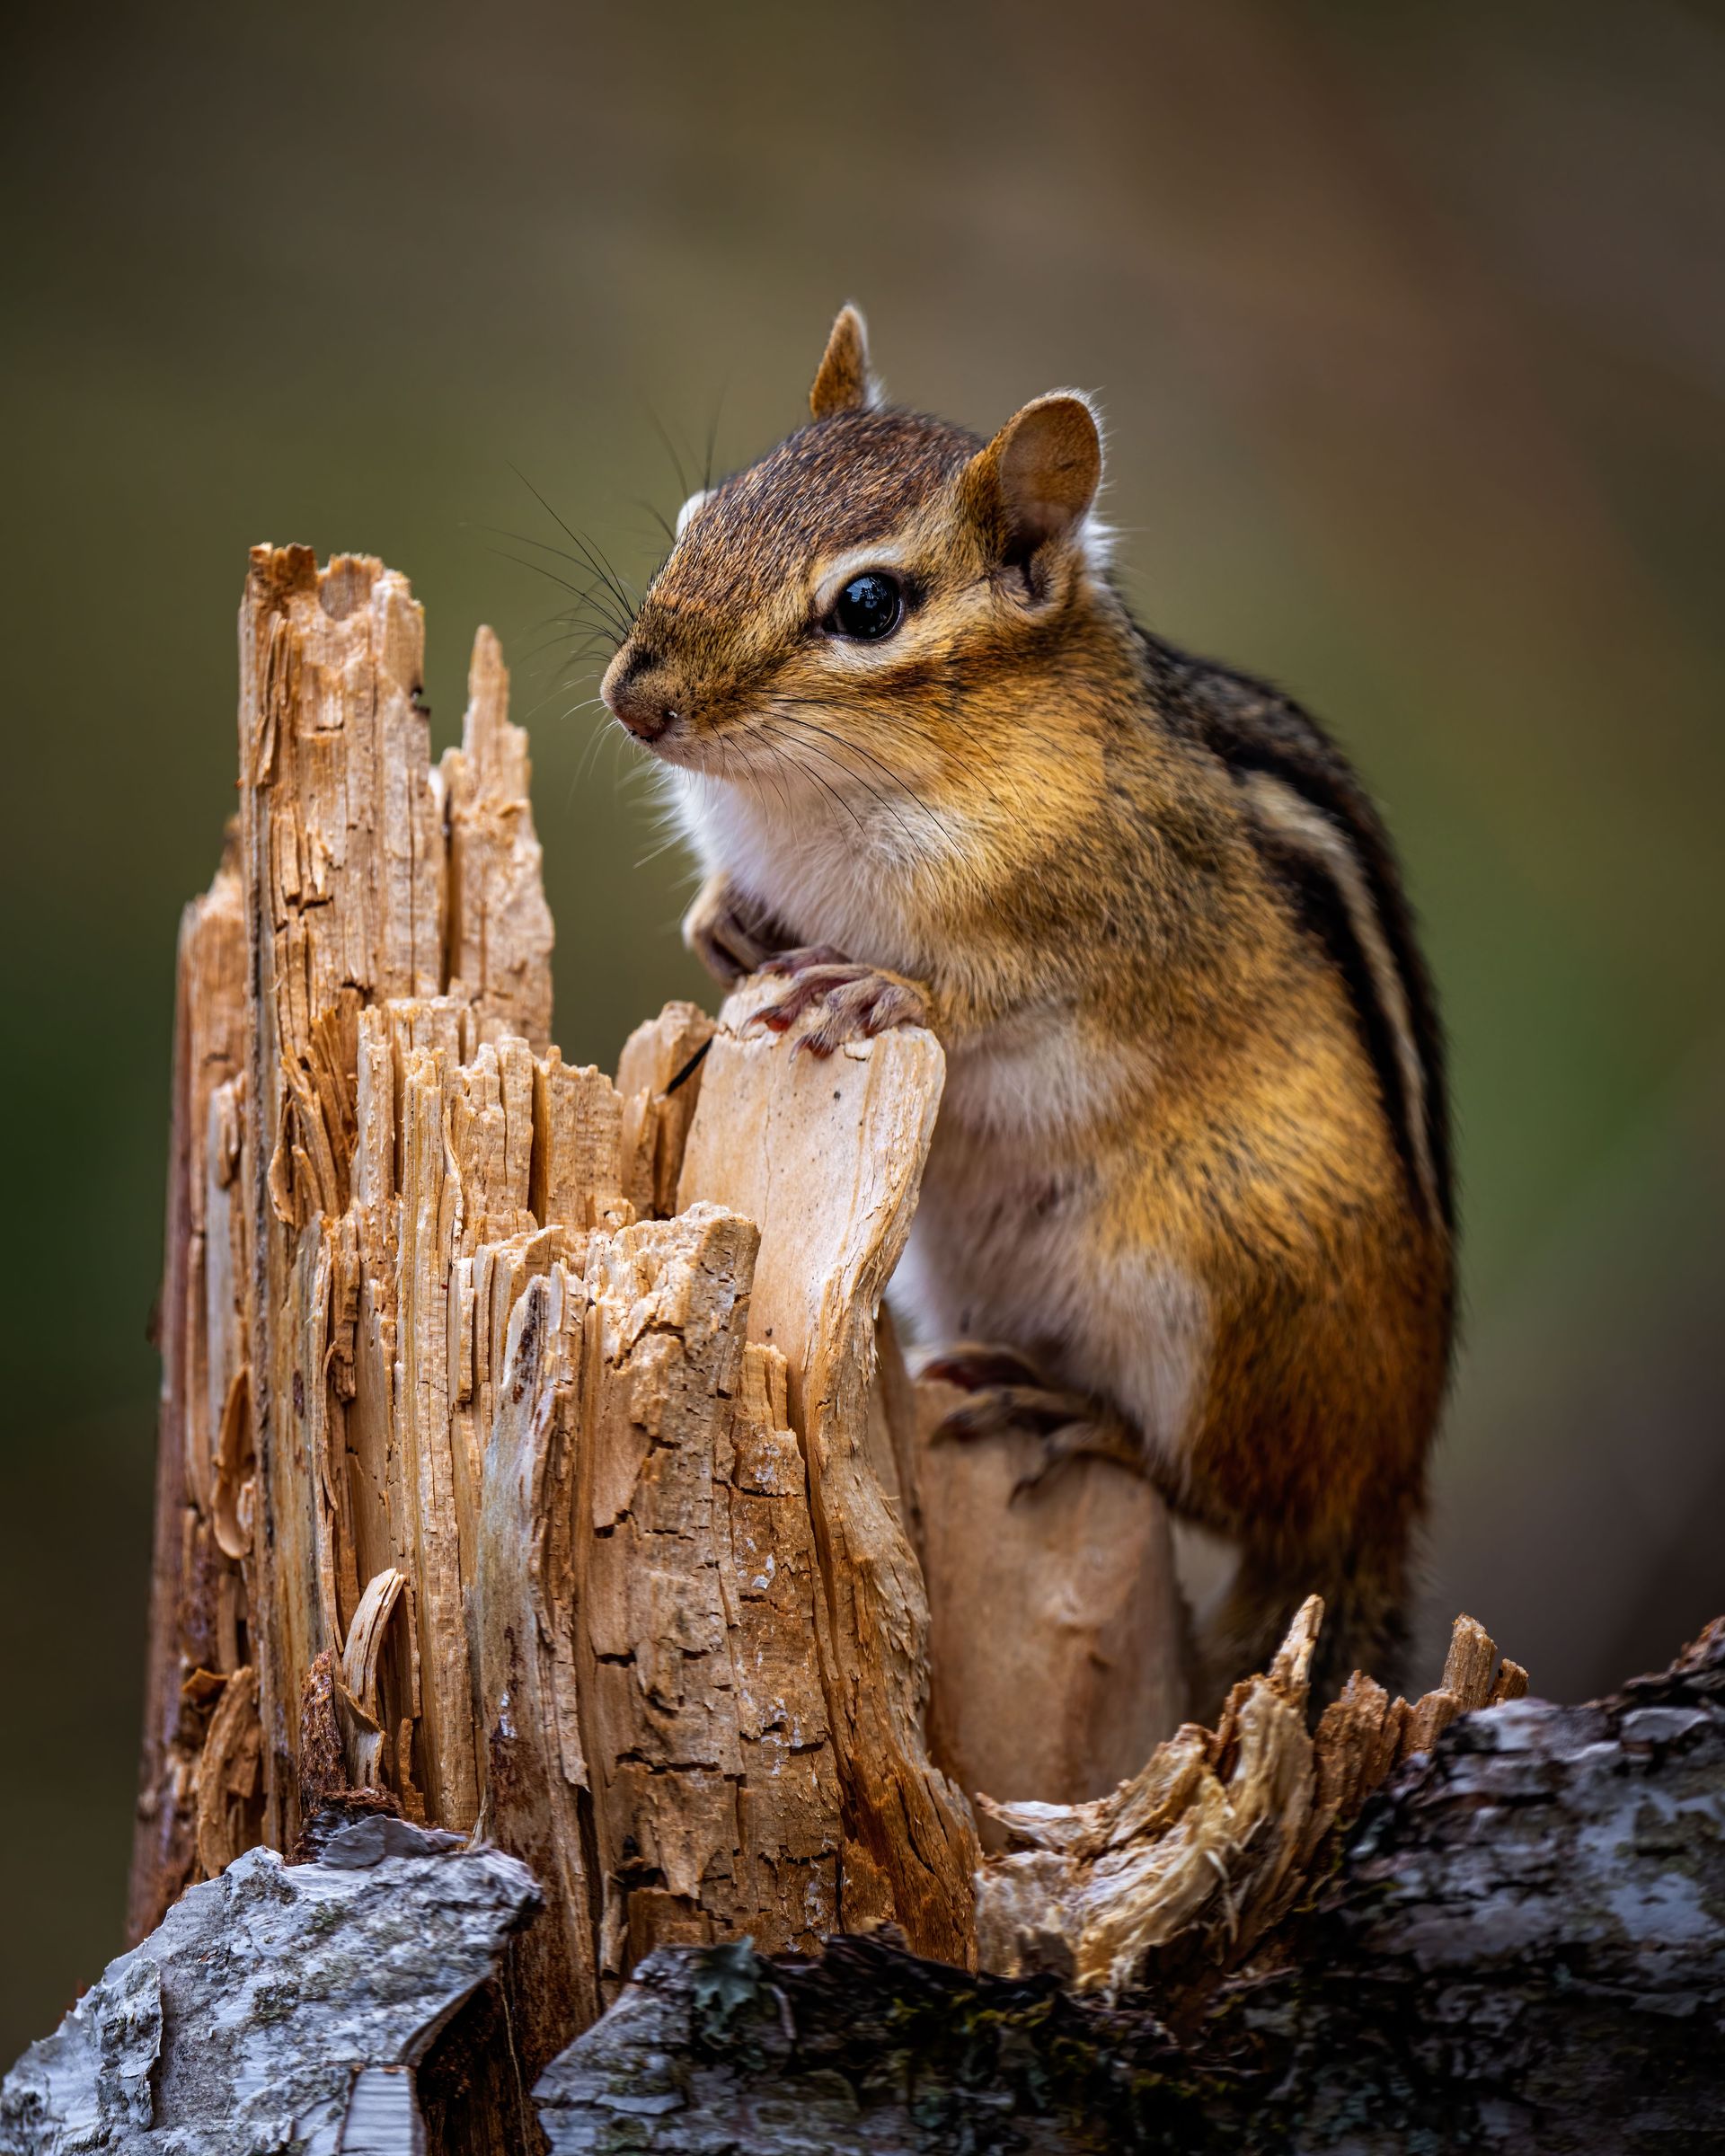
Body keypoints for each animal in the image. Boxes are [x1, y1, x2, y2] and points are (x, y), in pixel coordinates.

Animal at [599, 305, 1454, 1706]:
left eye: (870, 605)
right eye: (698, 513)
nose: (637, 700)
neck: (815, 798)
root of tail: (1388, 1501)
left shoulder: (1110, 909)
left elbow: (996, 988)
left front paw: (875, 981)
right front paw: (723, 922)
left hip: (1218, 1293)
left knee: (1223, 1493)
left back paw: (1080, 1413)